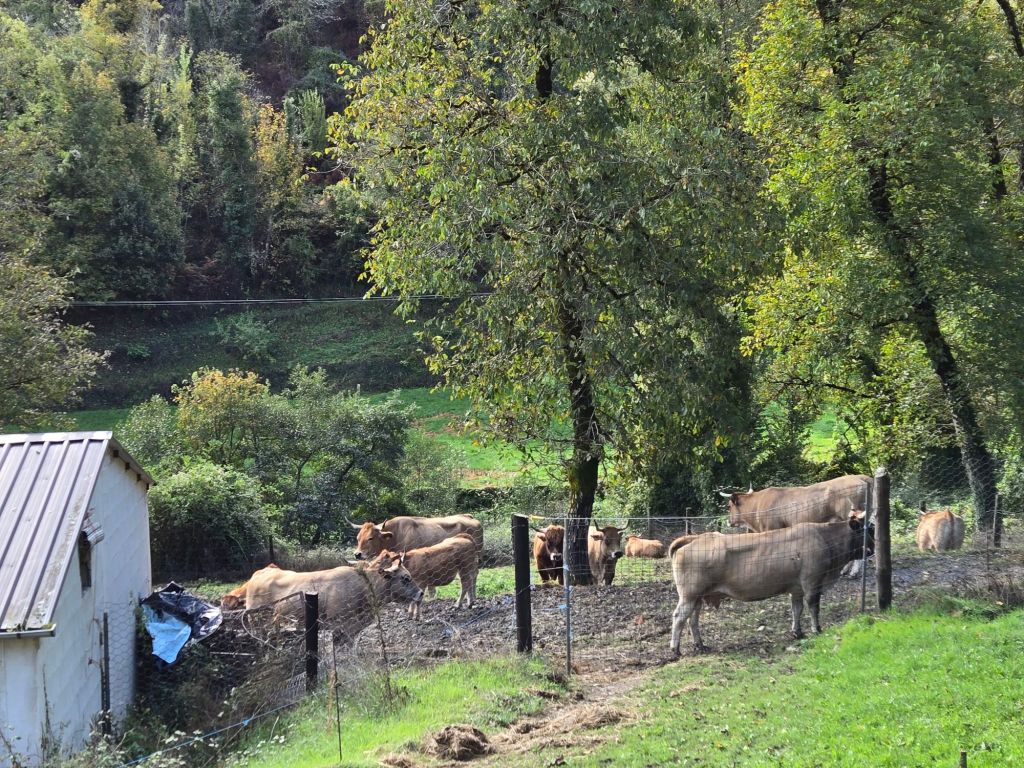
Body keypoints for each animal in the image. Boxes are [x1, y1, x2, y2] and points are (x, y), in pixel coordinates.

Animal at [669, 513, 873, 656]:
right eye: (869, 530)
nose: (872, 549)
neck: (824, 537)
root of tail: (696, 538)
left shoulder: (797, 588)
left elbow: (797, 609)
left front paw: (797, 632)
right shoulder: (812, 584)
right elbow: (813, 608)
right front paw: (817, 629)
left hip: (698, 597)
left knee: (693, 619)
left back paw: (700, 645)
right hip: (689, 595)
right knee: (679, 617)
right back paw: (675, 649)